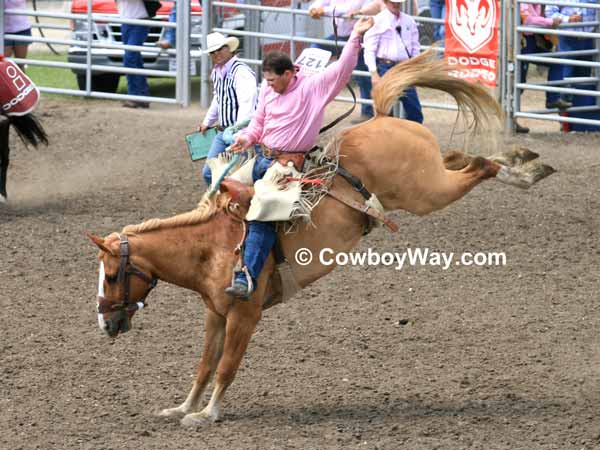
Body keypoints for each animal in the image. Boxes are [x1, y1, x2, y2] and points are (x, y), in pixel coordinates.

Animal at [86, 48, 556, 426]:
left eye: (111, 276)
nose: (106, 323)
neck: (211, 246)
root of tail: (382, 119)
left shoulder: (244, 314)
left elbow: (226, 366)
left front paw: (207, 415)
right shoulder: (215, 314)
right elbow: (204, 365)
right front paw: (183, 407)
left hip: (427, 191)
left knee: (478, 167)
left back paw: (526, 171)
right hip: (430, 175)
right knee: (462, 157)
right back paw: (521, 159)